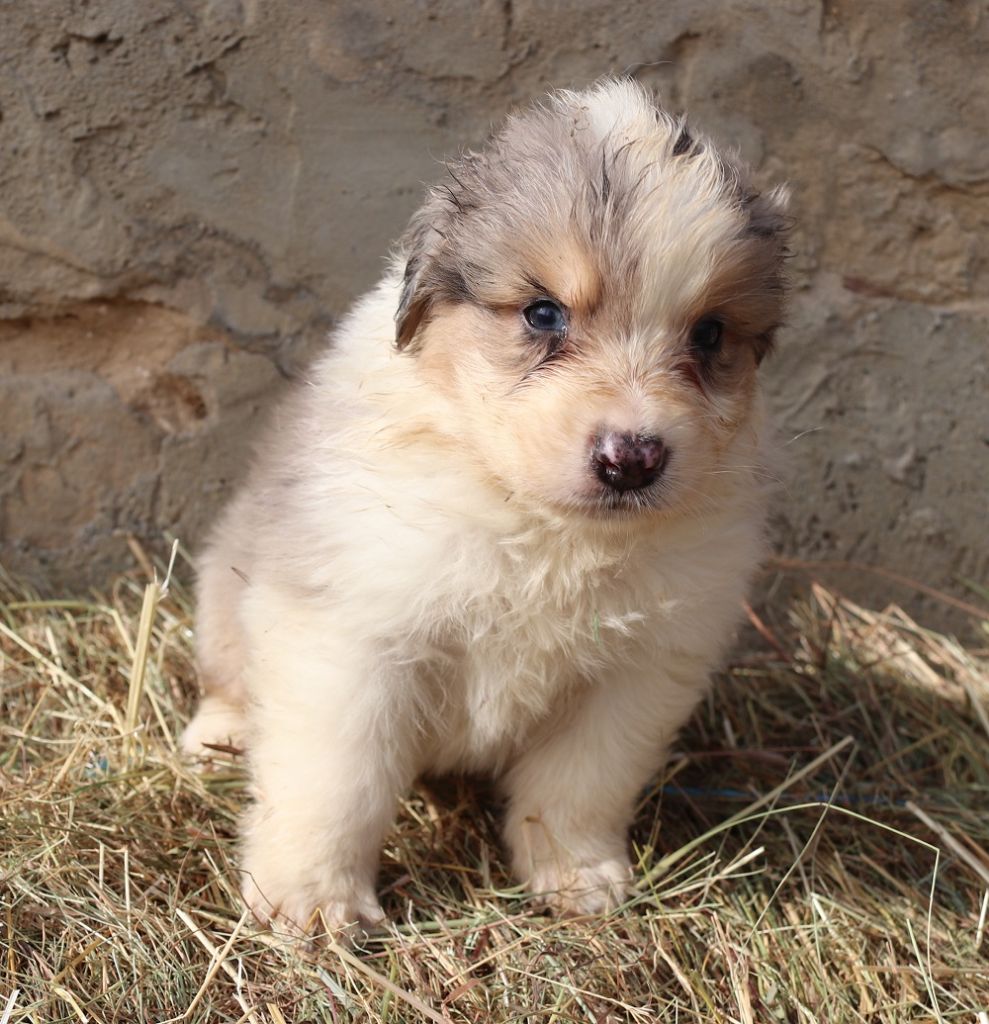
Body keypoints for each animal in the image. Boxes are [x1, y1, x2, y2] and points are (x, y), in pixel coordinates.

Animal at [184, 79, 790, 937]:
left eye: (708, 335)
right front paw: (313, 902)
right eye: (542, 314)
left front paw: (577, 876)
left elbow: (579, 785)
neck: (543, 528)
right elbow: (335, 782)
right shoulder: (351, 637)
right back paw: (223, 736)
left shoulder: (638, 672)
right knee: (228, 680)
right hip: (223, 587)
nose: (632, 458)